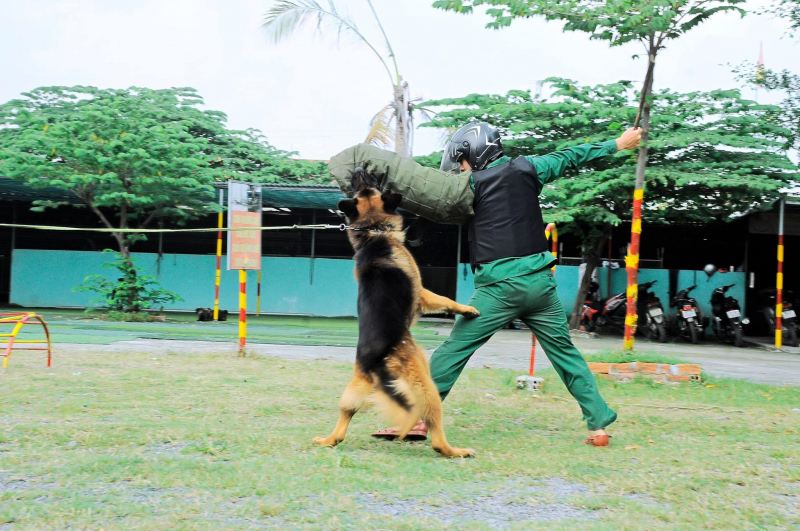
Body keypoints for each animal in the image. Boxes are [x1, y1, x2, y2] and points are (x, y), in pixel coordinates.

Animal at [310, 169, 476, 458]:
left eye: (364, 184)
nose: (360, 171)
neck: (374, 232)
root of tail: (375, 361)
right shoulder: (421, 291)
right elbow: (445, 300)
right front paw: (466, 310)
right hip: (424, 383)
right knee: (435, 431)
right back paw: (454, 451)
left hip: (354, 389)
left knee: (345, 415)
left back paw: (328, 440)